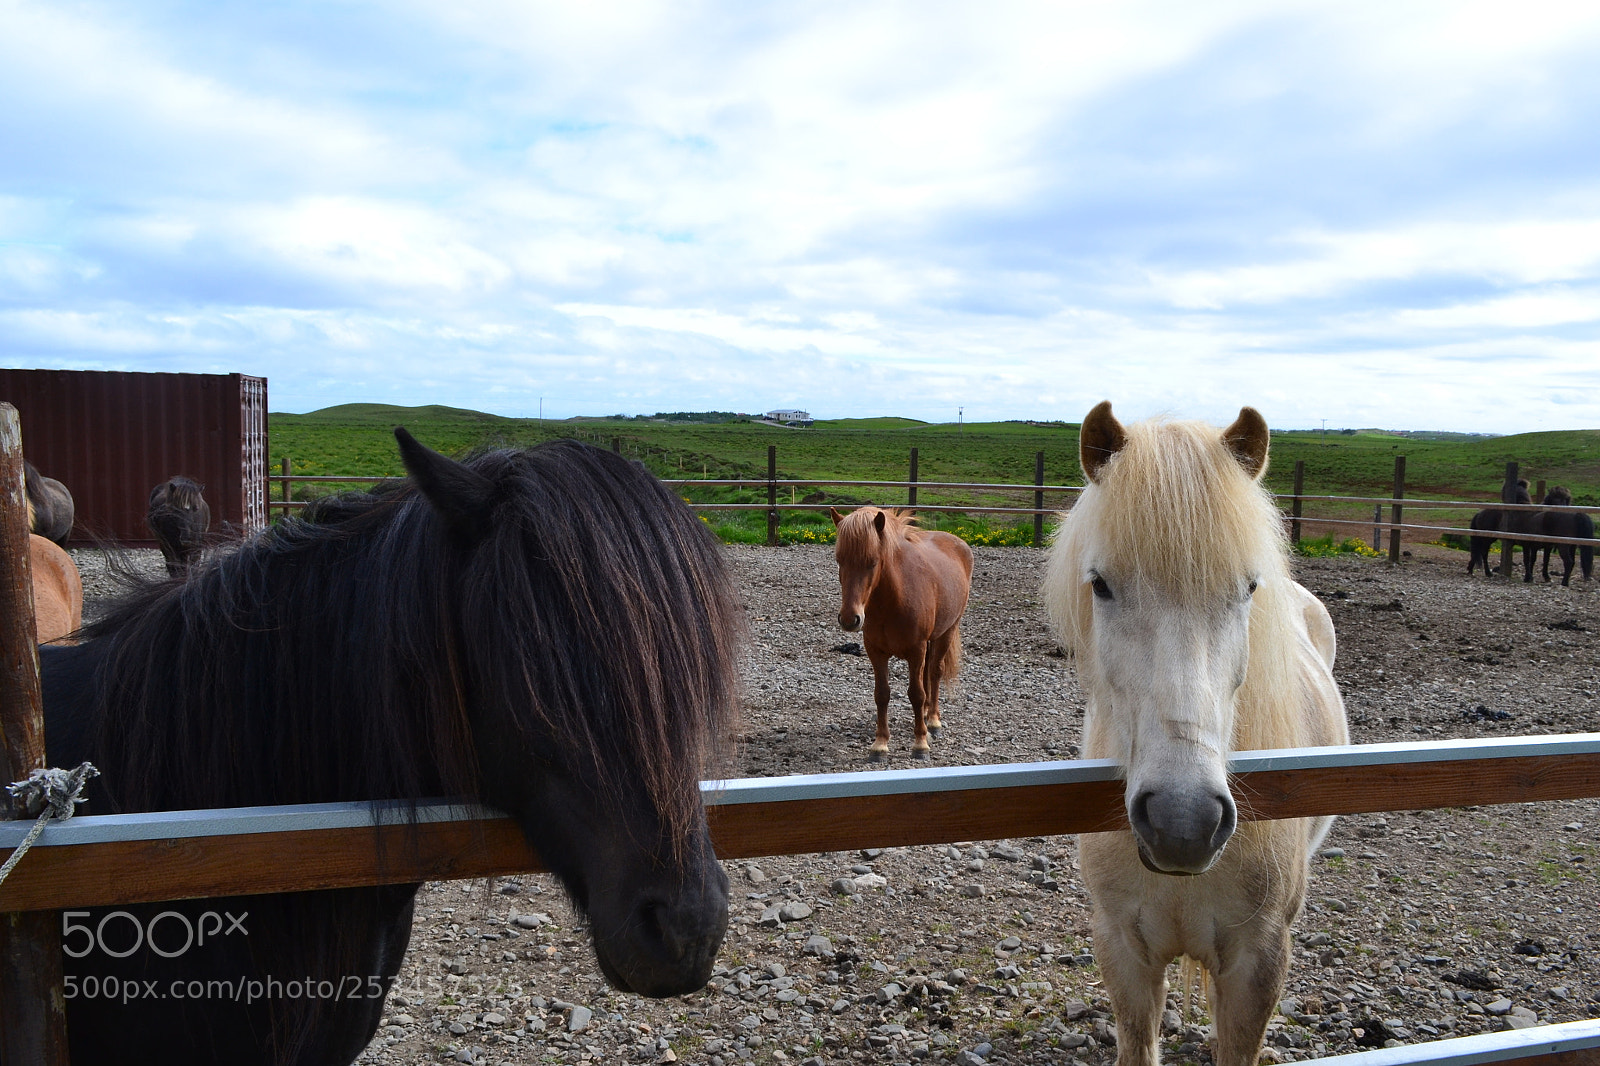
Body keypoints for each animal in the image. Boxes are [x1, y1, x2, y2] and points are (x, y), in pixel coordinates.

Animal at [829, 505, 972, 760]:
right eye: (839, 561)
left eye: (872, 562)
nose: (849, 619)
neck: (893, 600)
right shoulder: (876, 652)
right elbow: (882, 694)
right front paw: (880, 744)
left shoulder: (916, 650)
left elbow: (916, 693)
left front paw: (920, 744)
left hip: (946, 632)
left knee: (934, 673)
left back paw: (932, 721)